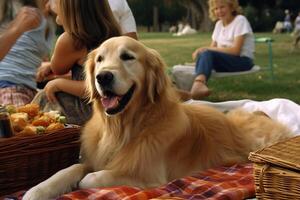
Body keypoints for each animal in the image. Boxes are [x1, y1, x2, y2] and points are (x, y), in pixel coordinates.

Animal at [23, 36, 292, 199]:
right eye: (99, 59)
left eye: (127, 57)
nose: (103, 76)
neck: (123, 128)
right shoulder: (93, 158)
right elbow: (71, 169)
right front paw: (37, 190)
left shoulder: (149, 175)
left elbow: (91, 178)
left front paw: (82, 183)